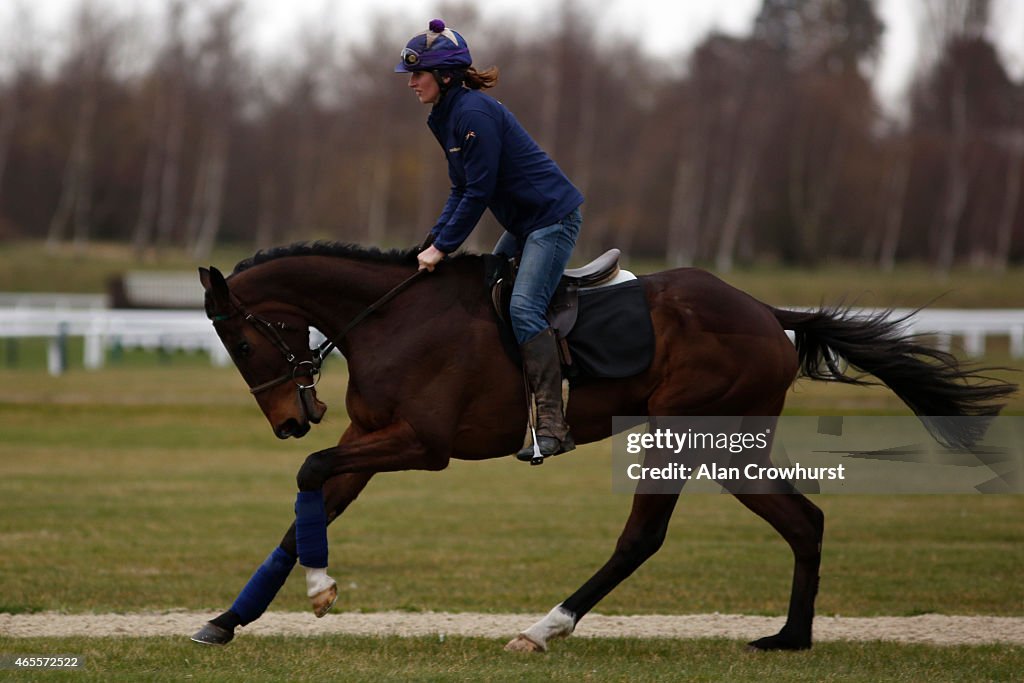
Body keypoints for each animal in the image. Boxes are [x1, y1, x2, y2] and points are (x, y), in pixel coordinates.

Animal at [193, 244, 1015, 651]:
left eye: (240, 340)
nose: (289, 418)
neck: (390, 316)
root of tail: (763, 309)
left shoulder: (419, 444)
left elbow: (311, 473)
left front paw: (320, 589)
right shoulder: (368, 436)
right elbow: (307, 507)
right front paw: (231, 618)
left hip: (688, 435)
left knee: (644, 537)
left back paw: (545, 628)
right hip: (726, 444)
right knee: (803, 520)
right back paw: (791, 637)